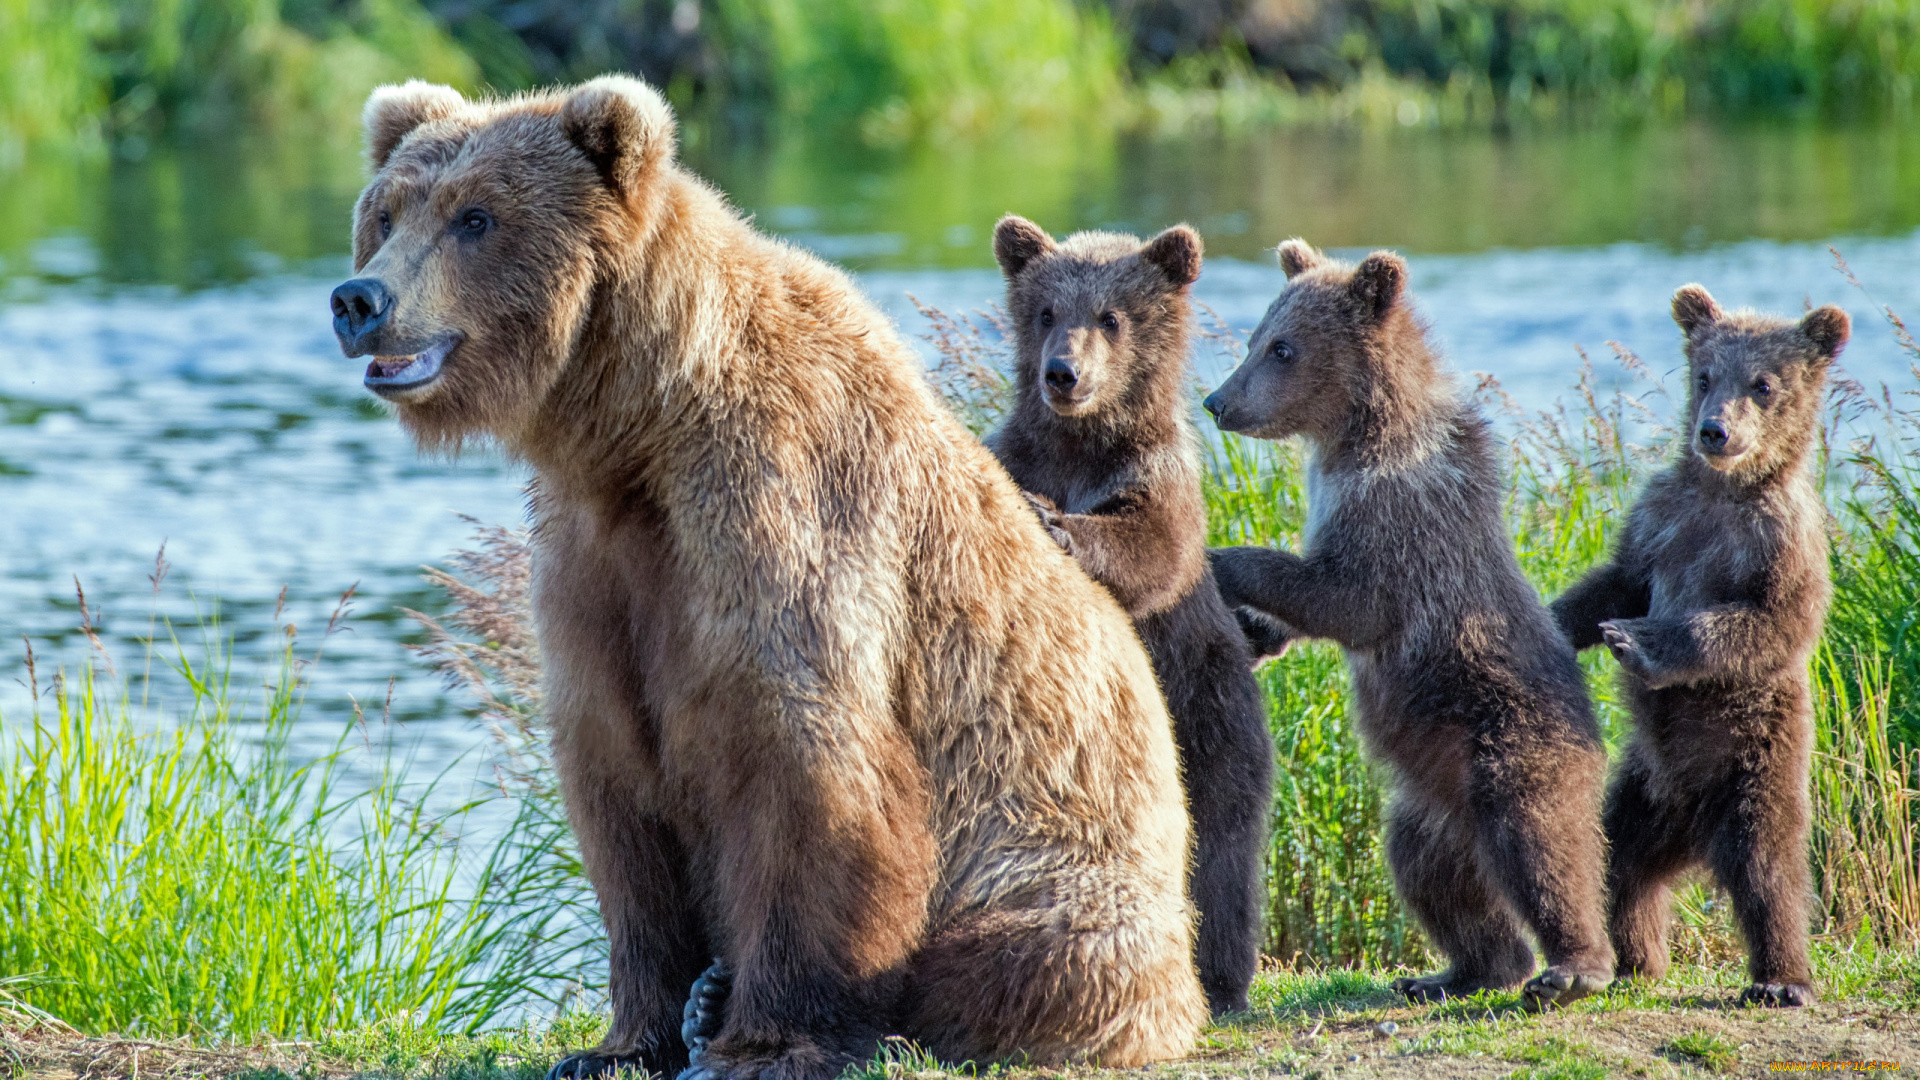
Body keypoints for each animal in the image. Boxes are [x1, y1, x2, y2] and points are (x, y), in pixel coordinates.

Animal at [328, 77, 1198, 1076]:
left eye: (475, 216)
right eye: (386, 213)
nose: (359, 299)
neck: (641, 427)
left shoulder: (779, 512)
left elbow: (806, 770)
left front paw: (759, 1040)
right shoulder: (595, 565)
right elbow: (615, 791)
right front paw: (620, 1040)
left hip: (1062, 858)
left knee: (1029, 951)